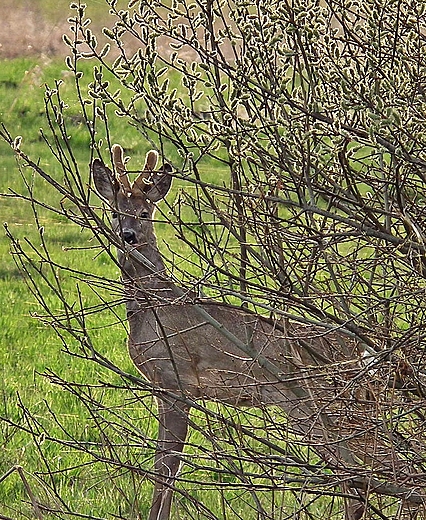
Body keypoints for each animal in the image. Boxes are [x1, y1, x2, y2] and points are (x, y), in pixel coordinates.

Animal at [92, 143, 422, 520]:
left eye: (145, 212)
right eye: (115, 212)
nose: (128, 235)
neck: (153, 306)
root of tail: (365, 353)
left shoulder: (177, 380)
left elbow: (167, 467)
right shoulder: (162, 387)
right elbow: (163, 464)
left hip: (326, 405)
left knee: (377, 473)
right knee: (366, 475)